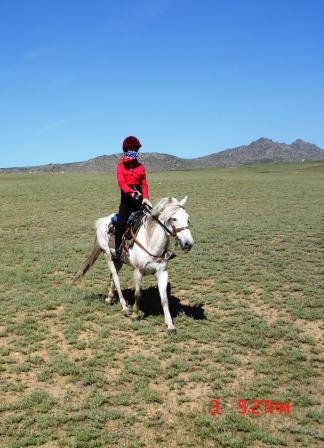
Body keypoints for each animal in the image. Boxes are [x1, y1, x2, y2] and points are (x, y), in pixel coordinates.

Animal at [76, 196, 192, 332]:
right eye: (173, 218)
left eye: (187, 217)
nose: (188, 243)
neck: (150, 242)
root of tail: (102, 221)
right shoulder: (138, 271)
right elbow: (138, 294)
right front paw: (135, 314)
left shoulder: (162, 273)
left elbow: (164, 299)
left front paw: (170, 325)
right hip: (108, 256)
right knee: (116, 279)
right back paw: (125, 307)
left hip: (118, 261)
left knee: (112, 278)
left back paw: (109, 298)